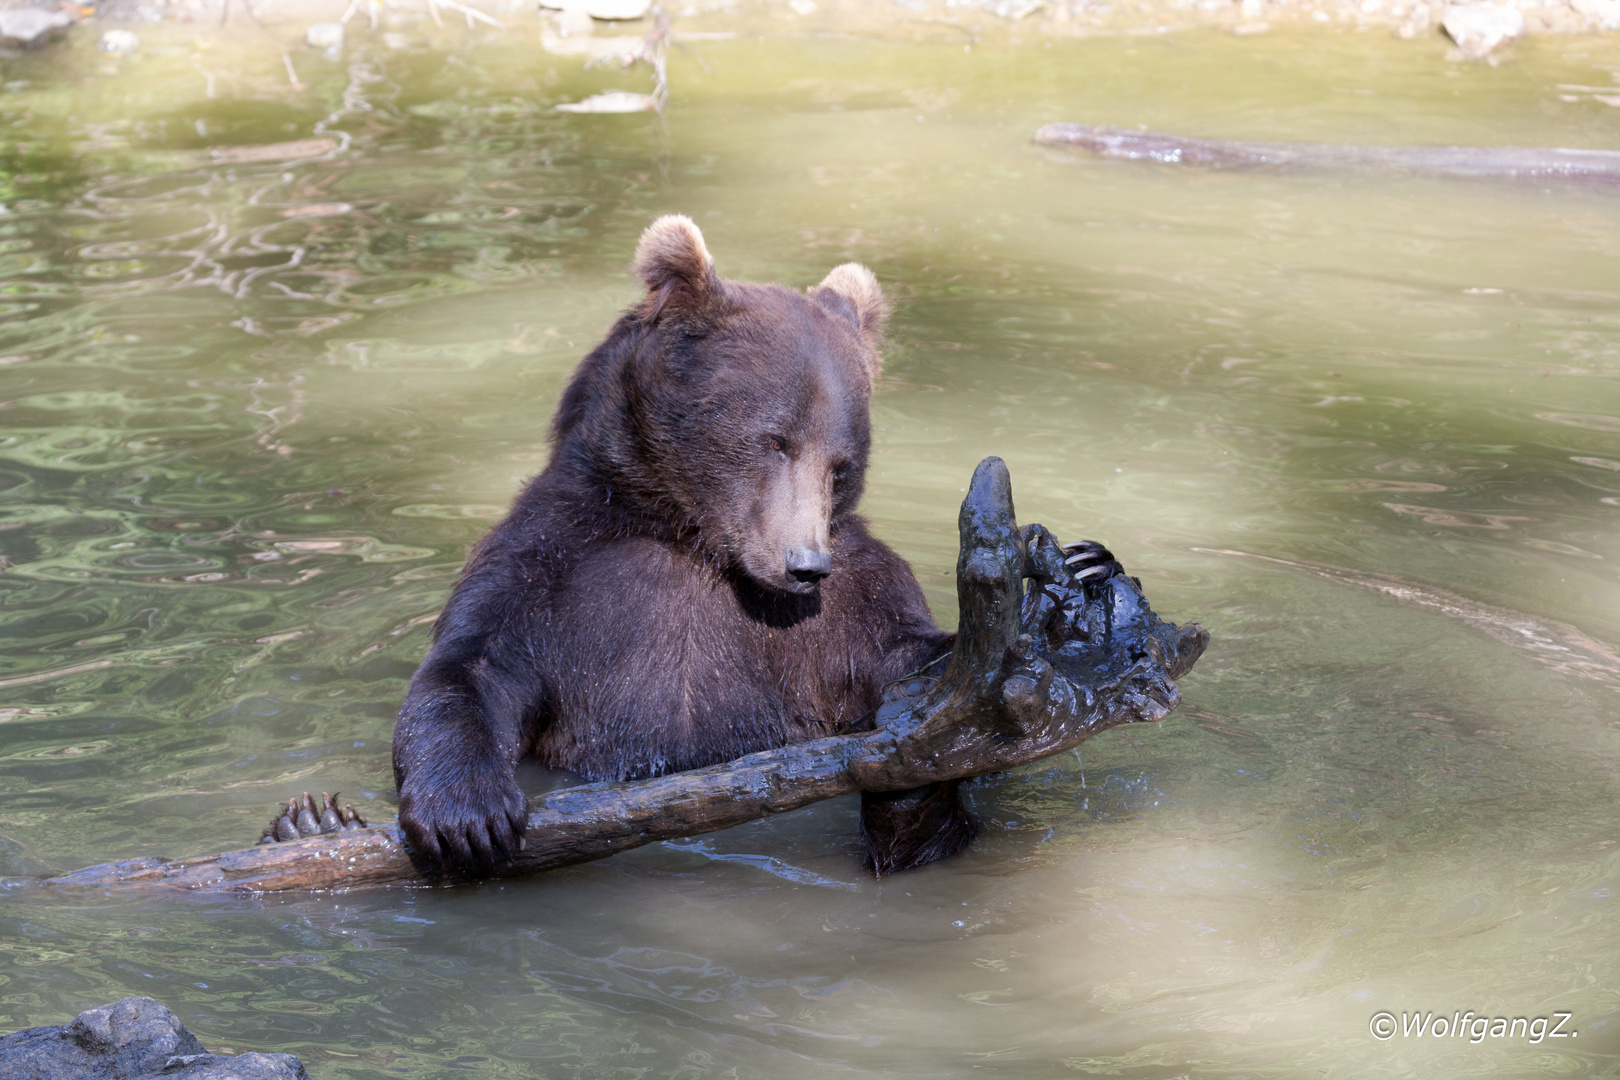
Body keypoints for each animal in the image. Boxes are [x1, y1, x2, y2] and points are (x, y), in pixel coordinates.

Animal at [395, 215, 959, 874]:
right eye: (775, 440)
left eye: (840, 466)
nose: (805, 566)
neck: (693, 537)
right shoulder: (550, 563)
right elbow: (472, 667)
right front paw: (468, 815)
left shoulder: (848, 599)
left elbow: (899, 645)